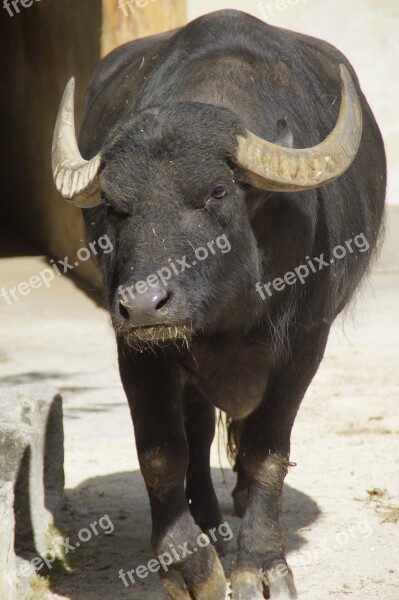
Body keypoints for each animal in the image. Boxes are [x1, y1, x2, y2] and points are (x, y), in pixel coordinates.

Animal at [51, 9, 386, 600]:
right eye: (114, 206)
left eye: (216, 192)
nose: (144, 305)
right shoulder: (136, 347)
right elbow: (162, 452)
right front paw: (191, 565)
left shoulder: (307, 341)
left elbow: (266, 453)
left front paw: (262, 564)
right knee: (200, 432)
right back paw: (211, 525)